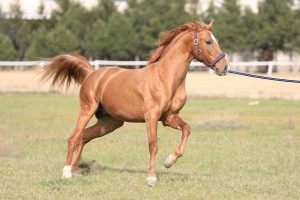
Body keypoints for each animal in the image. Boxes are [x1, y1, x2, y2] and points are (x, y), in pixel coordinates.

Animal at [42, 19, 229, 186]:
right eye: (208, 41)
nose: (224, 67)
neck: (165, 77)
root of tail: (92, 73)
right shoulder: (151, 117)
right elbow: (153, 145)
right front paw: (151, 178)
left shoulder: (169, 117)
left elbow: (186, 129)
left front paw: (169, 161)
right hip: (87, 110)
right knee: (73, 137)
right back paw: (66, 172)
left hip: (110, 122)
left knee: (84, 137)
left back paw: (75, 171)